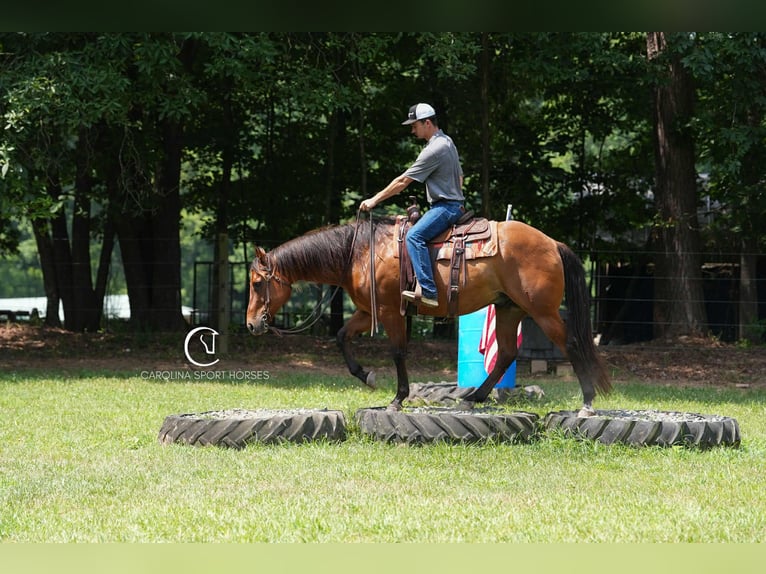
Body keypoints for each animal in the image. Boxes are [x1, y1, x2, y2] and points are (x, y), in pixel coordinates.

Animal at [246, 215, 611, 416]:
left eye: (256, 283)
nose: (251, 324)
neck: (358, 251)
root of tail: (552, 243)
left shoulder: (391, 312)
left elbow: (398, 352)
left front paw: (397, 398)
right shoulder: (368, 311)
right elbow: (341, 336)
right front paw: (366, 376)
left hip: (542, 311)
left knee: (571, 343)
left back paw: (587, 402)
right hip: (509, 309)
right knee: (507, 353)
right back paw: (473, 398)